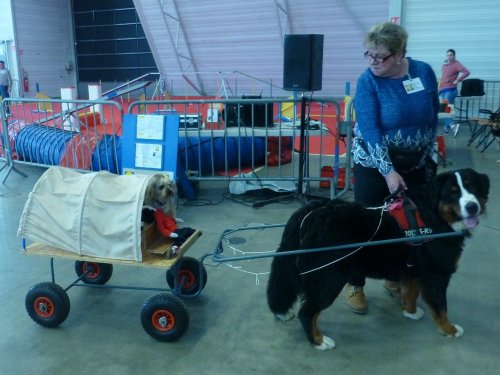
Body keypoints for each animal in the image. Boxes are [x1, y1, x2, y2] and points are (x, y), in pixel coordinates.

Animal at [268, 169, 490, 352]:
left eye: (473, 188)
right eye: (453, 193)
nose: (472, 206)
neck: (434, 217)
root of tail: (312, 211)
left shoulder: (413, 268)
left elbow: (412, 291)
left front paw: (409, 311)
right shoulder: (437, 274)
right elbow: (441, 307)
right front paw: (449, 329)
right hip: (328, 279)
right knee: (307, 312)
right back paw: (319, 340)